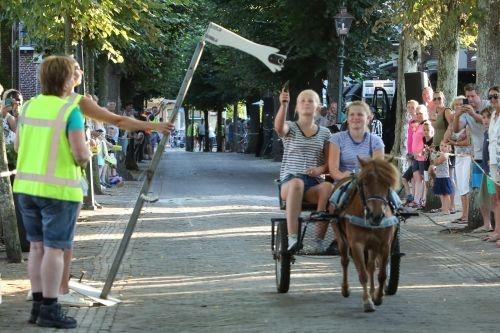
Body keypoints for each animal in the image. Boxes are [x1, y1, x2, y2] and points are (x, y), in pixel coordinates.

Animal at [332, 156, 402, 312]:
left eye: (387, 184)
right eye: (364, 183)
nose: (376, 215)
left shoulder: (385, 245)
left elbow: (381, 274)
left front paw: (378, 297)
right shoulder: (356, 244)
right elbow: (362, 274)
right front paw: (367, 301)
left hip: (373, 245)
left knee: (370, 265)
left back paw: (372, 291)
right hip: (341, 238)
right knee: (345, 261)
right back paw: (346, 289)